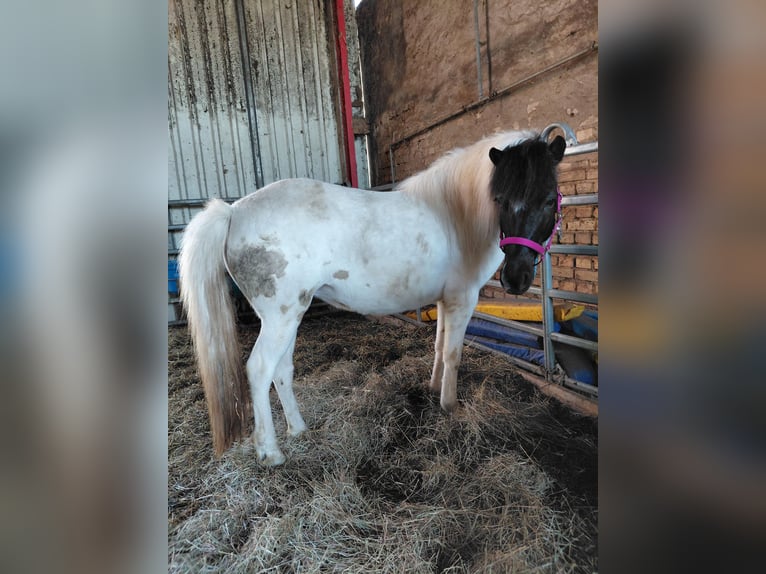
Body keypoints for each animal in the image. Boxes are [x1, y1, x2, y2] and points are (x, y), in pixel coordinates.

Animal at [179, 130, 566, 465]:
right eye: (499, 199)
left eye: (549, 199)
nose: (515, 278)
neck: (456, 214)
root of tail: (234, 211)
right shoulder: (463, 299)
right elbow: (453, 355)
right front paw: (449, 407)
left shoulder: (444, 301)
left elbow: (439, 347)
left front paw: (432, 389)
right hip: (281, 318)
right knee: (260, 369)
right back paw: (271, 452)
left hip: (290, 315)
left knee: (282, 370)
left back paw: (299, 430)